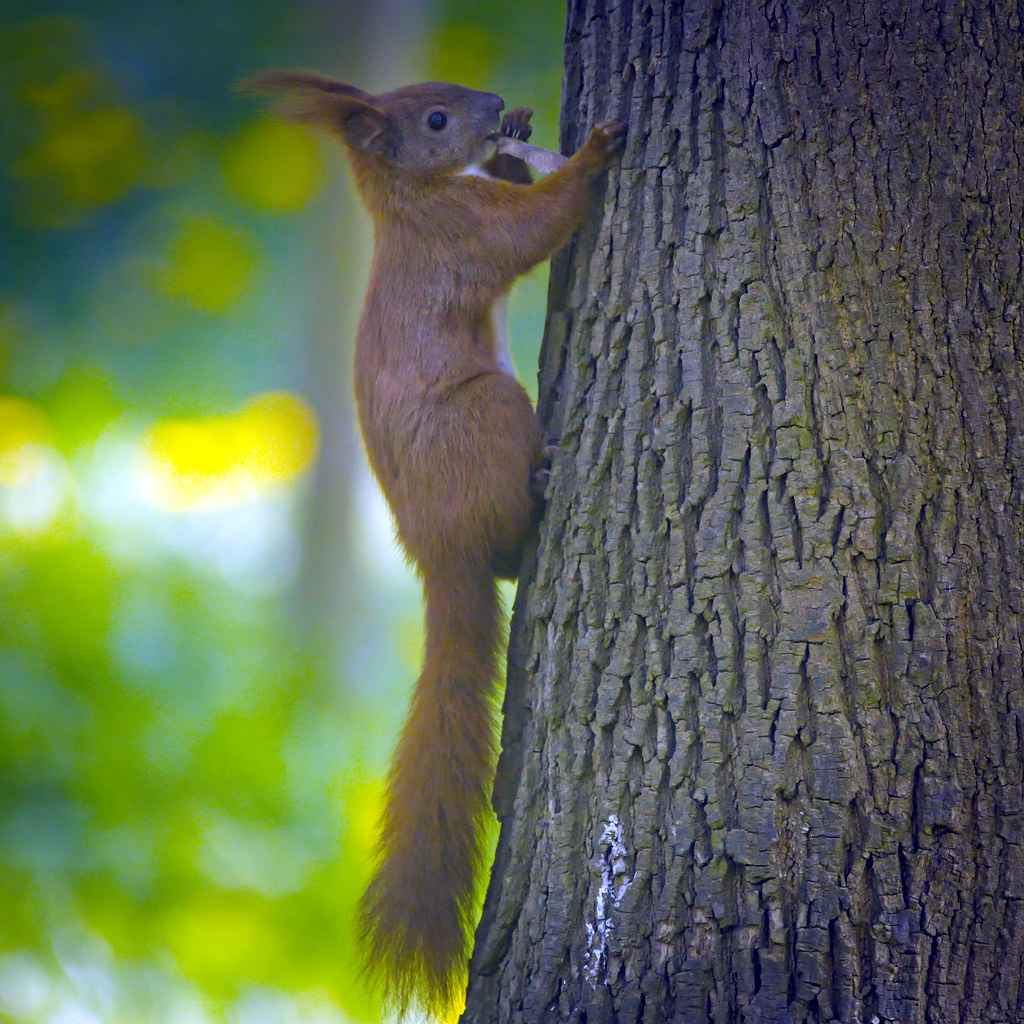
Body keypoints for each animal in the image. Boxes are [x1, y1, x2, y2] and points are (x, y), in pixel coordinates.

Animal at [241, 70, 625, 1016]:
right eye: (437, 120)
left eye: (451, 96)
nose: (491, 109)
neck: (409, 199)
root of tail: (436, 555)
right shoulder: (463, 235)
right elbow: (535, 228)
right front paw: (592, 154)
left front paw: (524, 134)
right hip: (492, 412)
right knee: (509, 547)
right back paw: (543, 490)